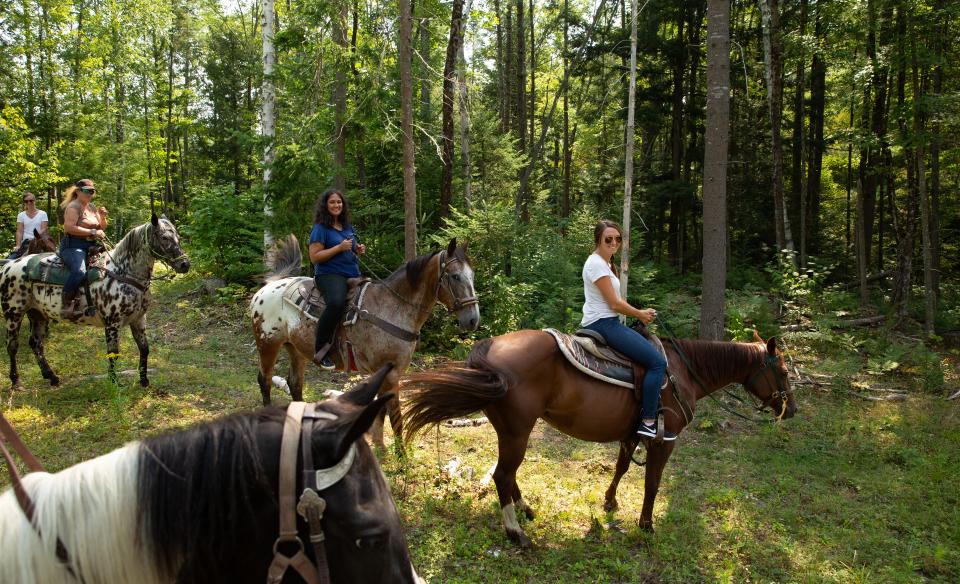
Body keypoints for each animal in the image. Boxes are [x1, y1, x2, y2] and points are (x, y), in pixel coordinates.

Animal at [0, 212, 189, 390]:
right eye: (164, 238)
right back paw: (16, 381)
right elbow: (113, 353)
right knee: (12, 346)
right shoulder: (112, 323)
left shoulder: (138, 319)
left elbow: (144, 348)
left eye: (178, 237)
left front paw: (144, 381)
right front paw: (114, 382)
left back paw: (51, 376)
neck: (123, 273)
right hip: (13, 314)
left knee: (36, 344)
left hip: (38, 314)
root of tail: (8, 266)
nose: (185, 264)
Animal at [402, 328, 800, 548]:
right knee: (502, 475)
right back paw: (516, 533)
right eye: (782, 371)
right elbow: (653, 483)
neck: (682, 372)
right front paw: (646, 525)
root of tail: (488, 351)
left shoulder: (632, 434)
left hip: (511, 431)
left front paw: (610, 502)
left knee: (508, 474)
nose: (792, 409)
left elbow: (622, 467)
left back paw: (527, 511)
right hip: (517, 431)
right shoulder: (665, 439)